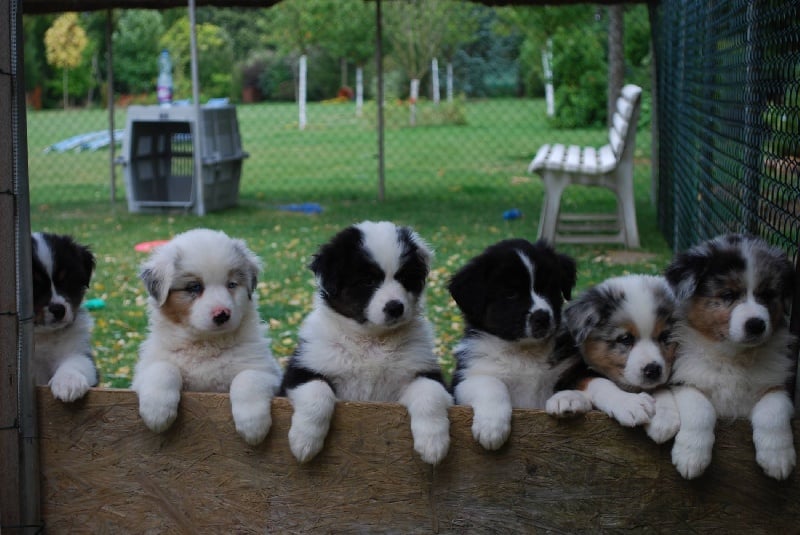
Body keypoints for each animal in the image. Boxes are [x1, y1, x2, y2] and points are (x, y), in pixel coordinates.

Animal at [31, 231, 99, 402]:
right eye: (35, 286)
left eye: (66, 281)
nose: (58, 310)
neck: (44, 336)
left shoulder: (79, 350)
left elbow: (75, 362)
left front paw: (68, 383)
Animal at [131, 228, 282, 446]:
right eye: (194, 287)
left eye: (231, 284)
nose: (222, 314)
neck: (206, 343)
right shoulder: (145, 369)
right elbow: (162, 369)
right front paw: (157, 414)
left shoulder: (267, 371)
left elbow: (248, 378)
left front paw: (253, 427)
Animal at [280, 222, 454, 464]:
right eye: (368, 281)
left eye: (404, 278)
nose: (395, 307)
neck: (372, 341)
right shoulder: (302, 368)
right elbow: (317, 392)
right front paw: (304, 442)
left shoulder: (421, 371)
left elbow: (430, 394)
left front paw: (433, 445)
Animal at [446, 240, 580, 452]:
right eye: (510, 294)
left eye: (548, 288)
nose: (542, 317)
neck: (524, 351)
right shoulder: (464, 380)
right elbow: (491, 383)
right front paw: (491, 428)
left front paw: (567, 398)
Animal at [660, 234, 796, 482]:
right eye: (728, 295)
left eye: (767, 295)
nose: (756, 324)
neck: (734, 357)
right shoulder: (684, 380)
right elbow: (701, 408)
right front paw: (691, 456)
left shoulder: (777, 385)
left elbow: (773, 411)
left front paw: (777, 458)